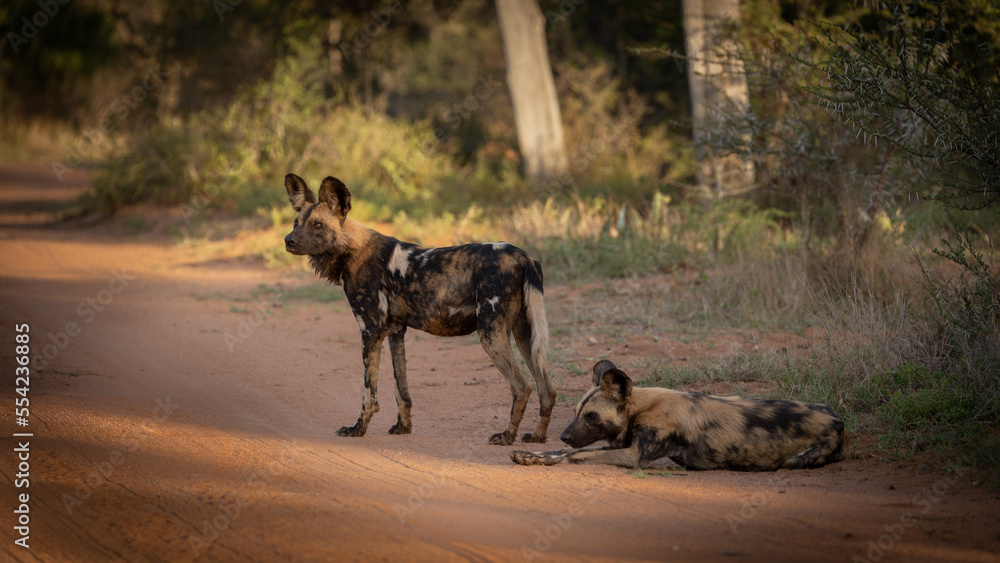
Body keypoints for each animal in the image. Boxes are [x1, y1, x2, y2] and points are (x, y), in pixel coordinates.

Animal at [282, 173, 556, 446]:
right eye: (296, 222)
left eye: (317, 225)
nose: (288, 240)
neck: (352, 249)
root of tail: (519, 254)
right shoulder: (395, 331)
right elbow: (401, 389)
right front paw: (402, 427)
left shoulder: (370, 330)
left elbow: (368, 392)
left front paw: (357, 428)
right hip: (523, 335)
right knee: (547, 389)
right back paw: (538, 436)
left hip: (490, 335)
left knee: (522, 387)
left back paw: (507, 436)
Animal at [512, 362, 848, 472]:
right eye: (577, 413)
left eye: (592, 415)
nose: (564, 434)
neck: (642, 406)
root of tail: (837, 420)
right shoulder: (619, 445)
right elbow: (566, 451)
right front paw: (529, 454)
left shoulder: (633, 456)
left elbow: (576, 455)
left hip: (795, 459)